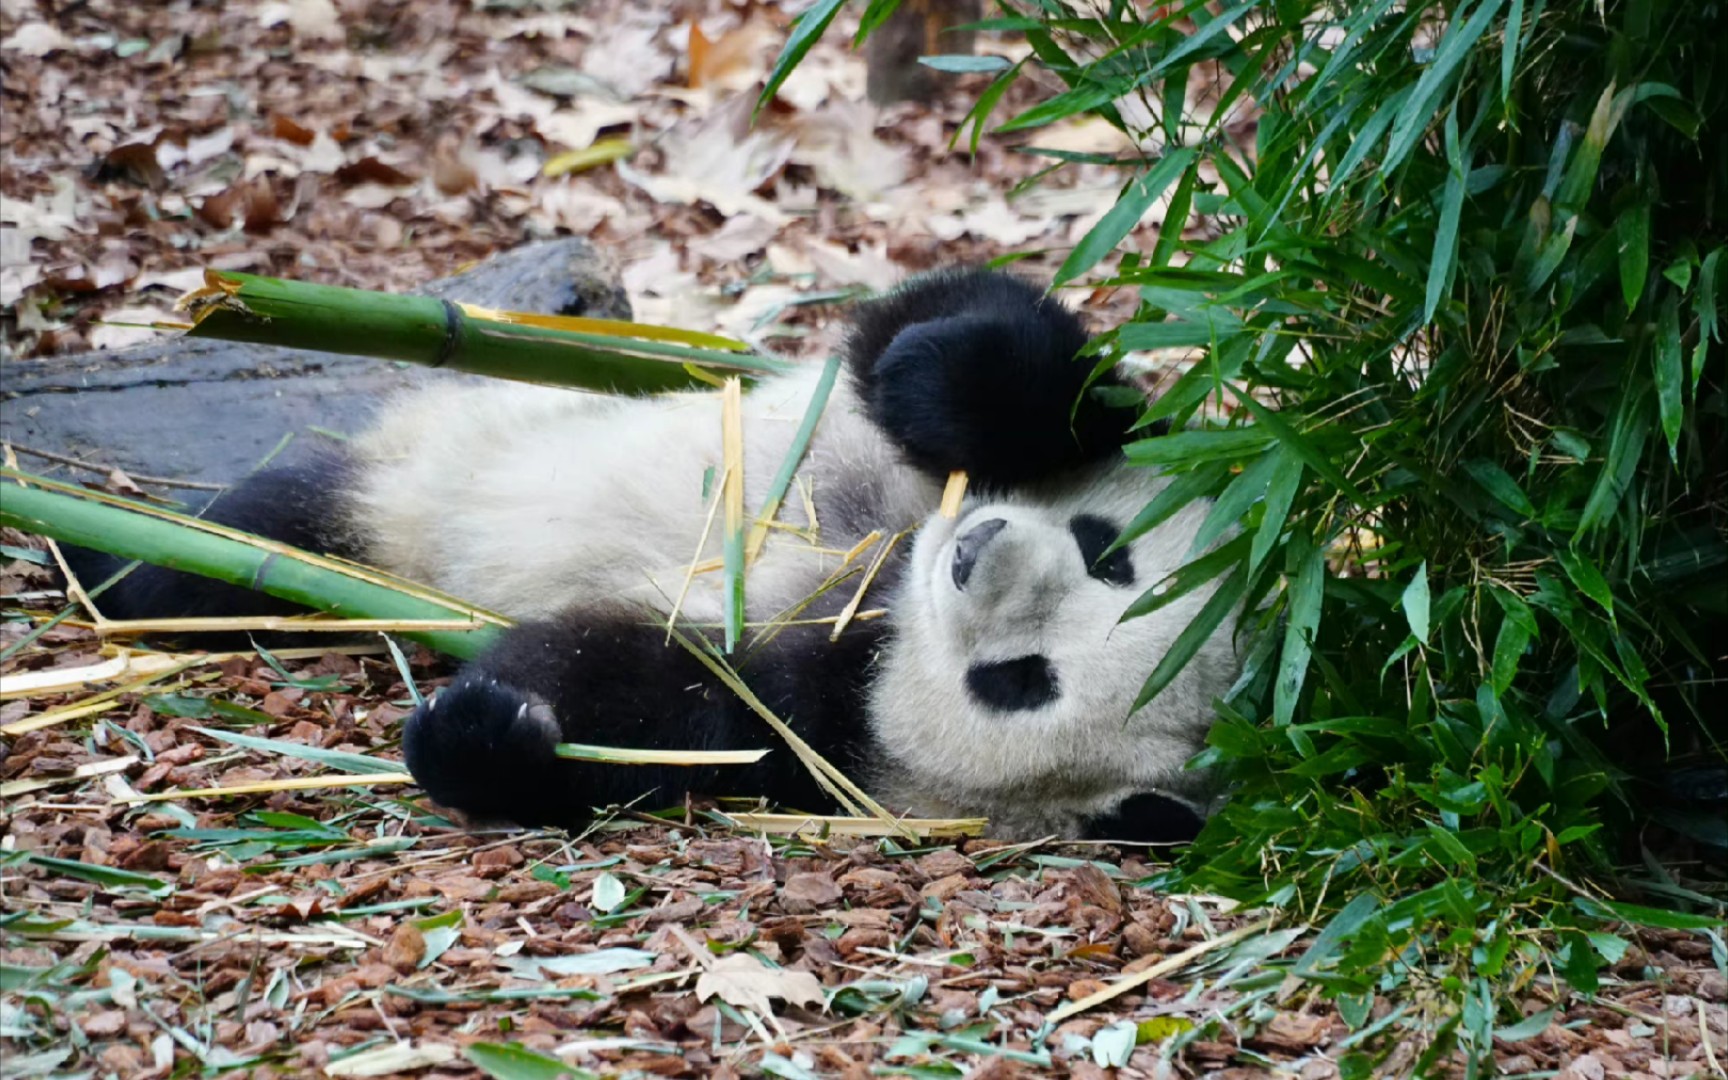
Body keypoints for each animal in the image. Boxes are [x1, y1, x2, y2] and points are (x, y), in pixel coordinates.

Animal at [77, 269, 1244, 843]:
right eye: (1107, 550)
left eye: (1020, 682)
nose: (976, 552)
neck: (880, 592)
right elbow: (965, 327)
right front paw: (948, 387)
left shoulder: (824, 735)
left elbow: (665, 705)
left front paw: (489, 727)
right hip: (406, 482)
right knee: (235, 539)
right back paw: (104, 563)